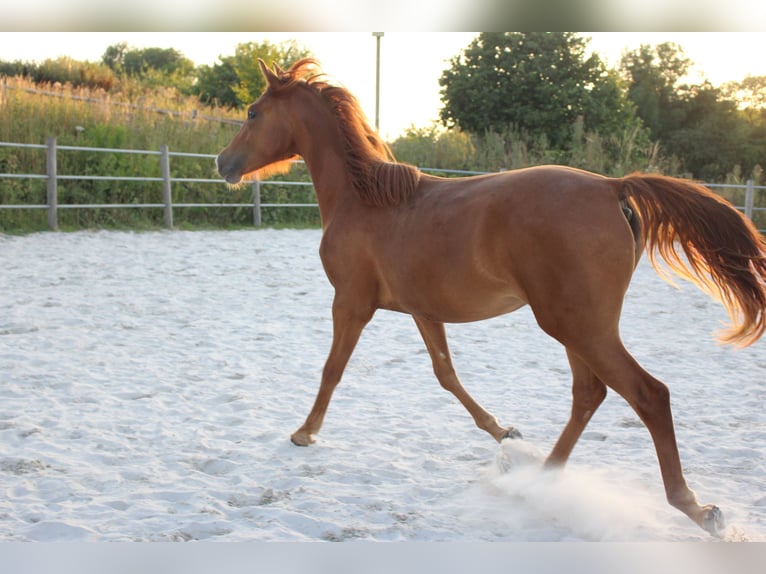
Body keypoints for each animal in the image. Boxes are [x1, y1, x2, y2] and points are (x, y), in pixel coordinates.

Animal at [216, 58, 766, 536]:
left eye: (253, 112)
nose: (223, 162)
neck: (363, 201)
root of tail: (613, 186)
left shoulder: (350, 303)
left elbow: (332, 369)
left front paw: (304, 433)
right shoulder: (423, 311)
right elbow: (446, 375)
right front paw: (505, 432)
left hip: (578, 325)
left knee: (648, 395)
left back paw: (697, 509)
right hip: (576, 326)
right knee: (589, 394)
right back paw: (537, 479)